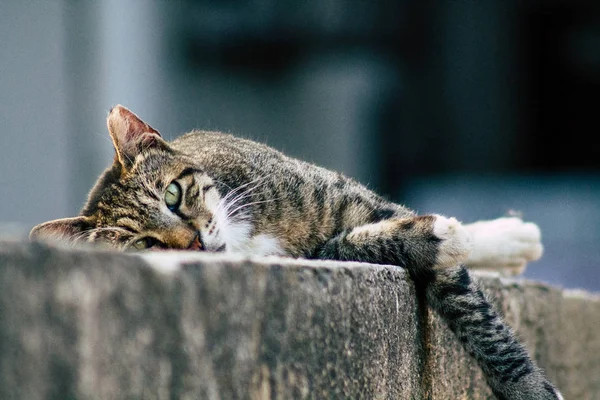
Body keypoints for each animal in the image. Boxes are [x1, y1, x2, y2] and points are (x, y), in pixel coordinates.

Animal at [29, 105, 564, 400]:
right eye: (147, 245)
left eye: (173, 196)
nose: (197, 244)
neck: (242, 233)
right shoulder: (316, 251)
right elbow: (349, 246)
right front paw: (430, 237)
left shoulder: (349, 200)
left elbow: (476, 317)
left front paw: (530, 390)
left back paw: (508, 237)